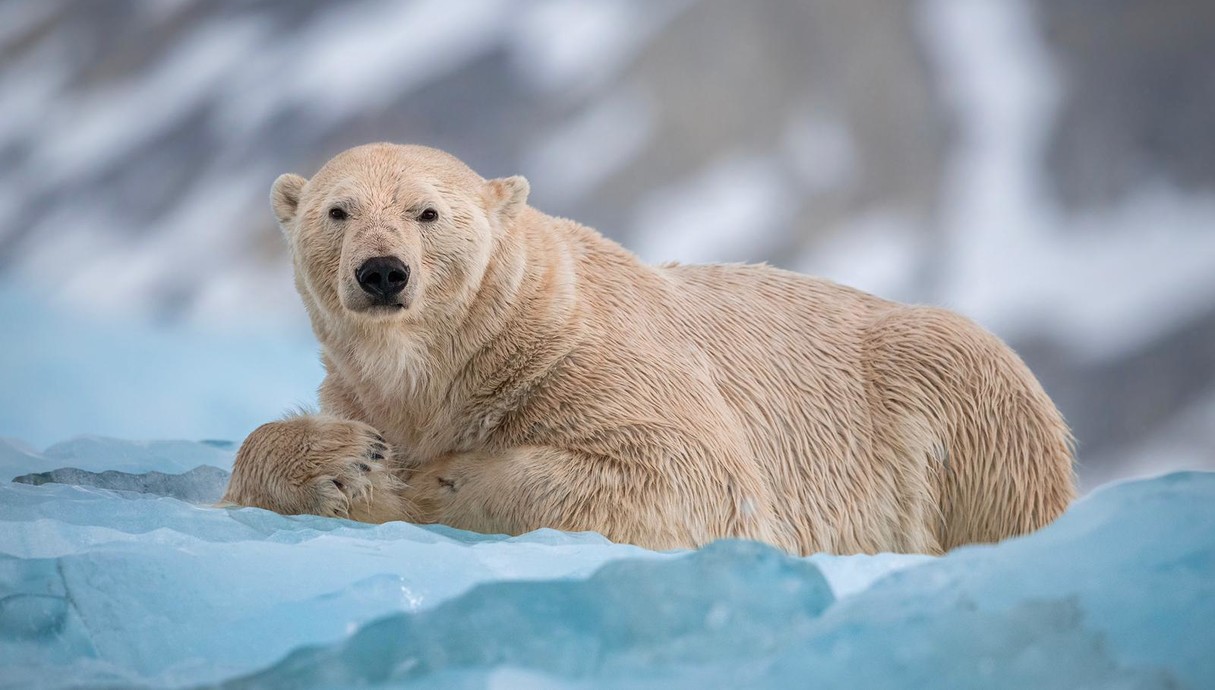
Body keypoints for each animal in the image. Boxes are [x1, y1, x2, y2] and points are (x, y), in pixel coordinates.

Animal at [218, 141, 1074, 556]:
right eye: (338, 210)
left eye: (425, 211)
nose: (382, 271)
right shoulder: (358, 385)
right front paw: (343, 462)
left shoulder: (592, 360)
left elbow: (687, 472)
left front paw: (428, 482)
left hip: (959, 391)